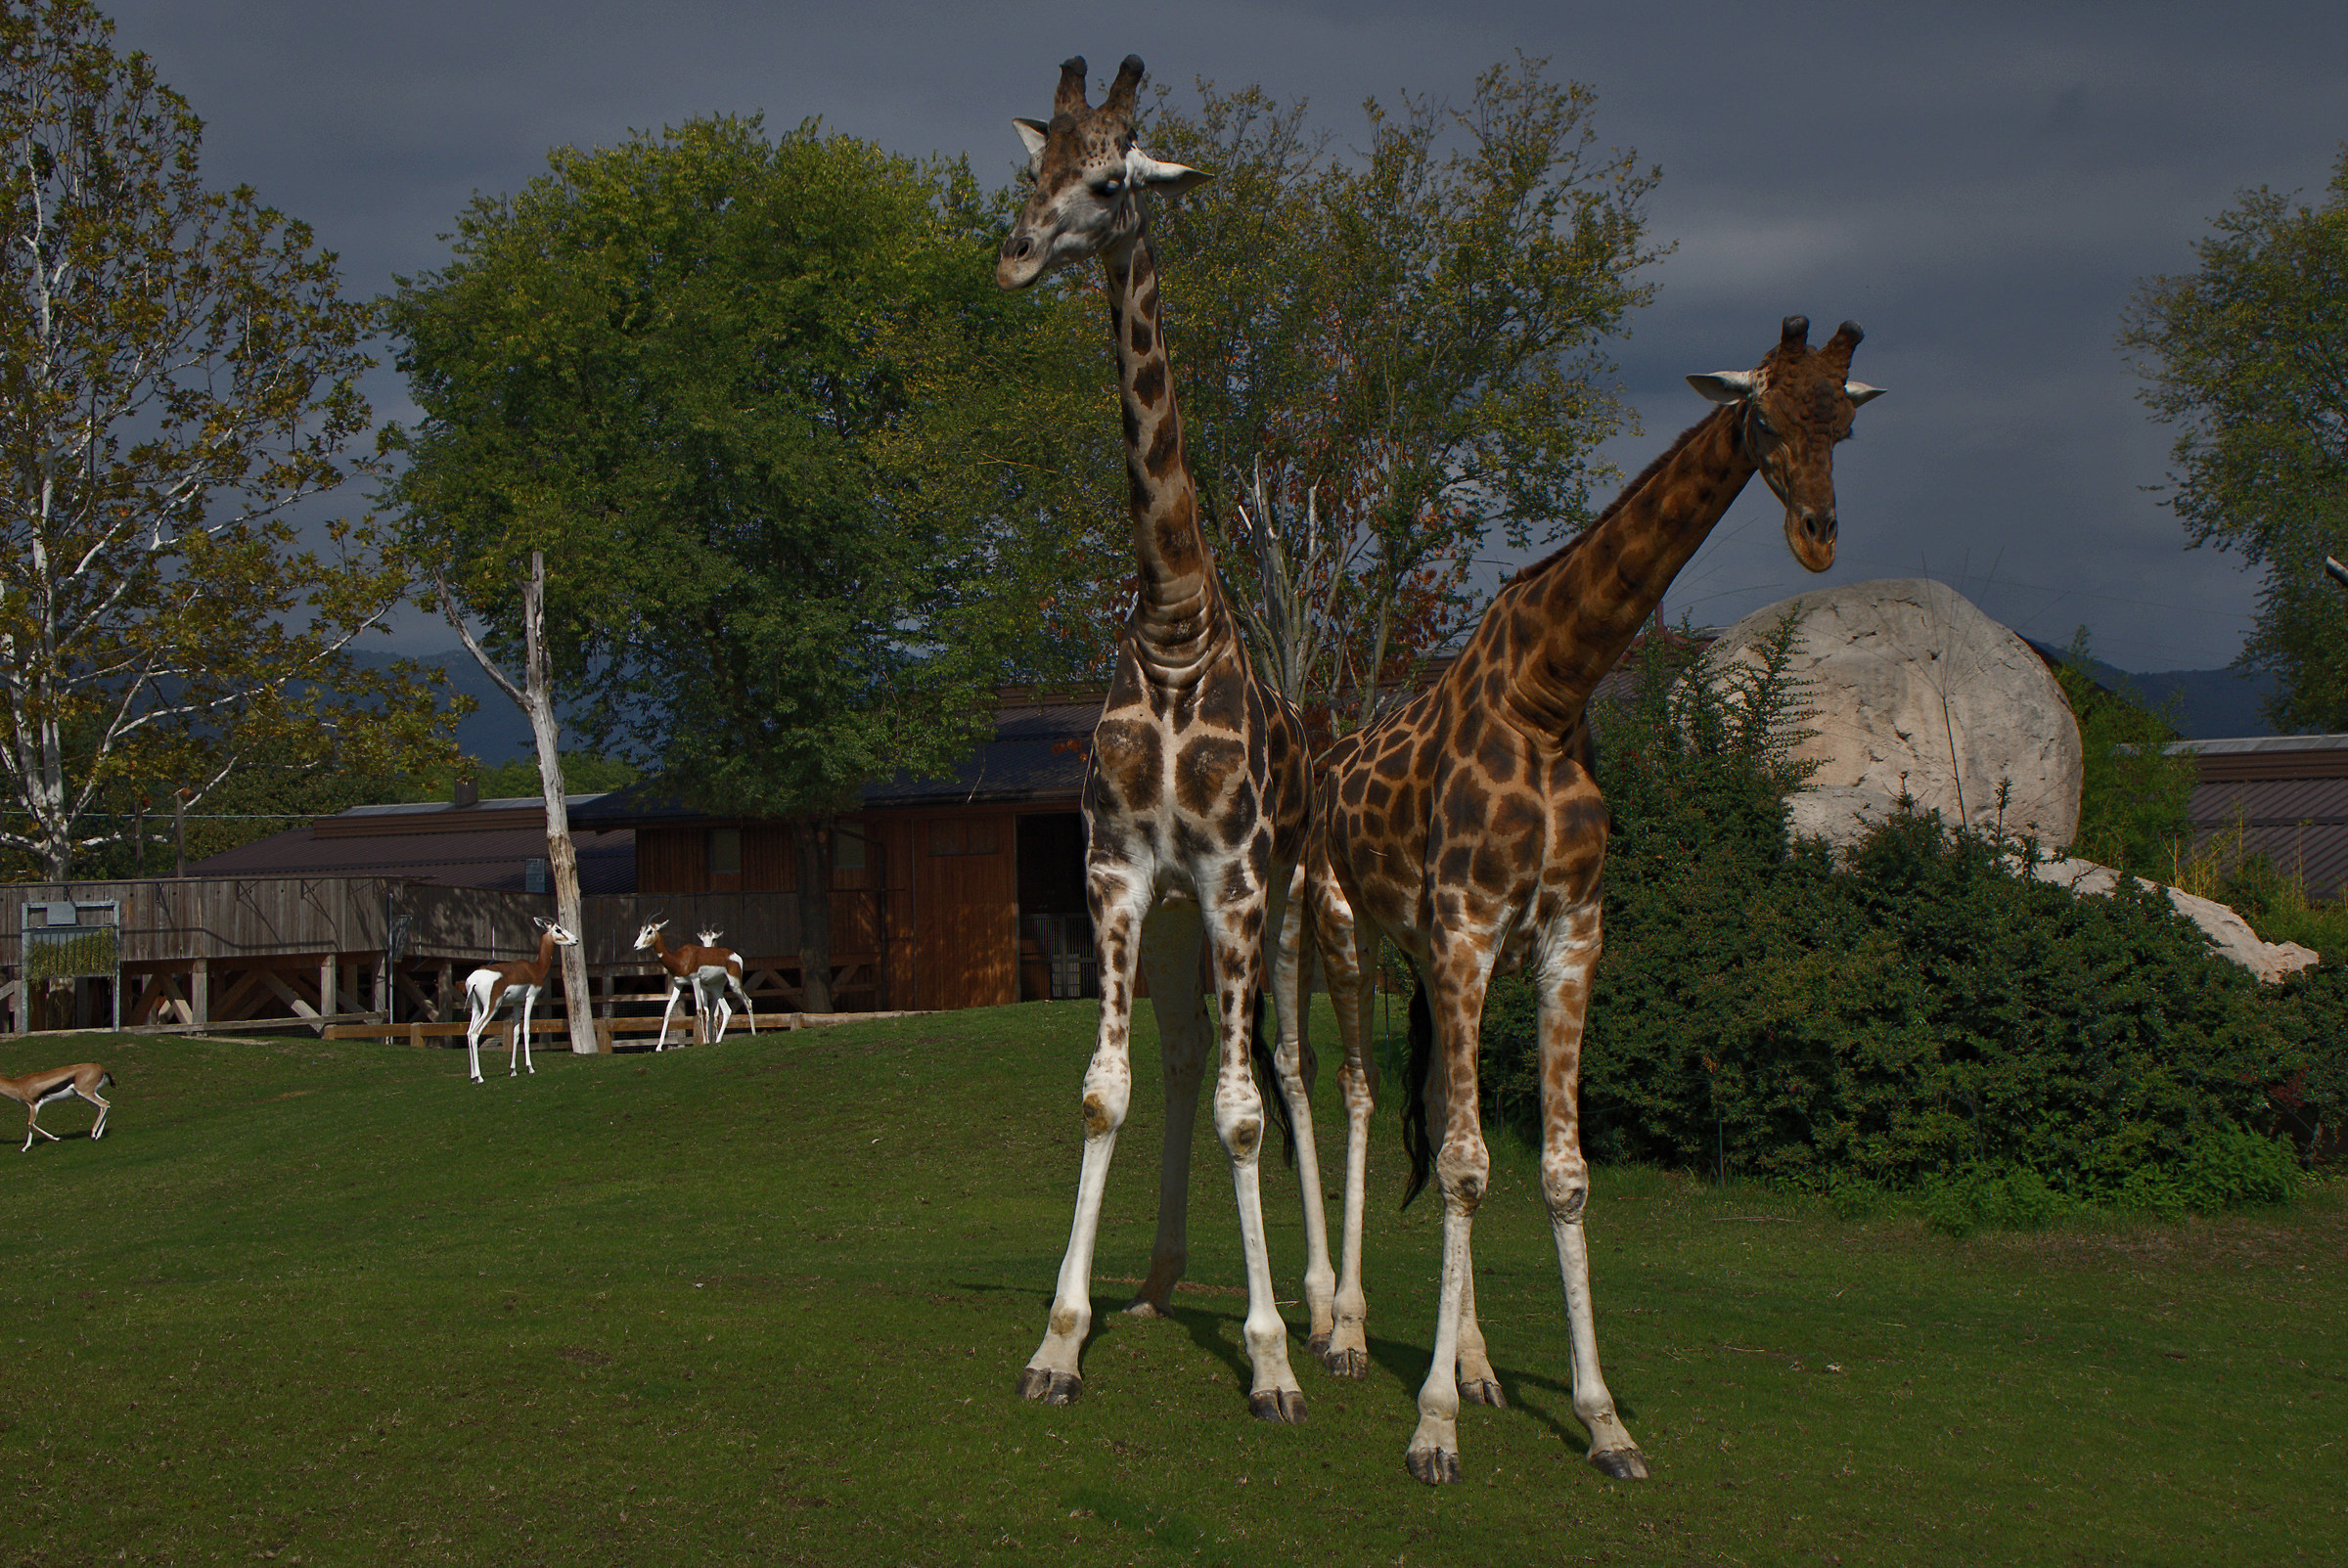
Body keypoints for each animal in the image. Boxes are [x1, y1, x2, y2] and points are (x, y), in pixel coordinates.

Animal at [1304, 316, 1884, 1484]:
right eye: (1764, 414)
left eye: (1843, 424)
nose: (1817, 536)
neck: (1548, 692)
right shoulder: (1467, 927)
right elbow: (1467, 1165)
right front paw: (1431, 1426)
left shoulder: (1569, 937)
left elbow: (1552, 1172)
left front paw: (1600, 1420)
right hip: (1355, 933)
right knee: (1359, 1092)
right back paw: (1344, 1332)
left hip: (1430, 959)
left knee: (1431, 1109)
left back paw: (1475, 1361)